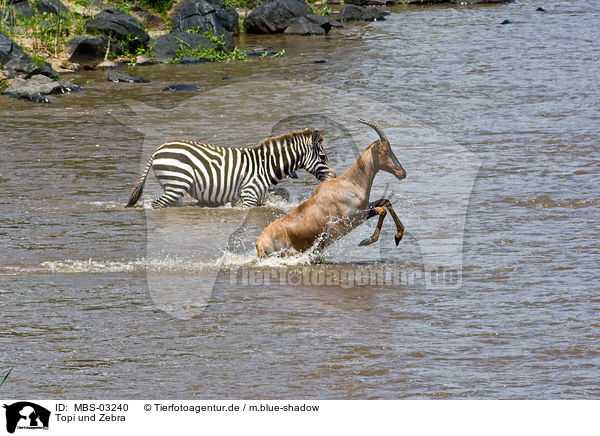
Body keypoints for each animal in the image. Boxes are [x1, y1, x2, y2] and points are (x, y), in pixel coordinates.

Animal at [124, 129, 336, 209]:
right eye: (323, 157)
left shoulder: (261, 197)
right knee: (157, 205)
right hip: (177, 184)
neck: (266, 166)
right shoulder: (249, 195)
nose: (334, 176)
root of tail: (158, 150)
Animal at [255, 117, 406, 258]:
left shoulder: (365, 207)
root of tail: (259, 244)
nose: (402, 173)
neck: (349, 183)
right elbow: (381, 210)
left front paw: (398, 237)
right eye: (385, 151)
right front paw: (367, 241)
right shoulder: (353, 217)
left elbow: (386, 202)